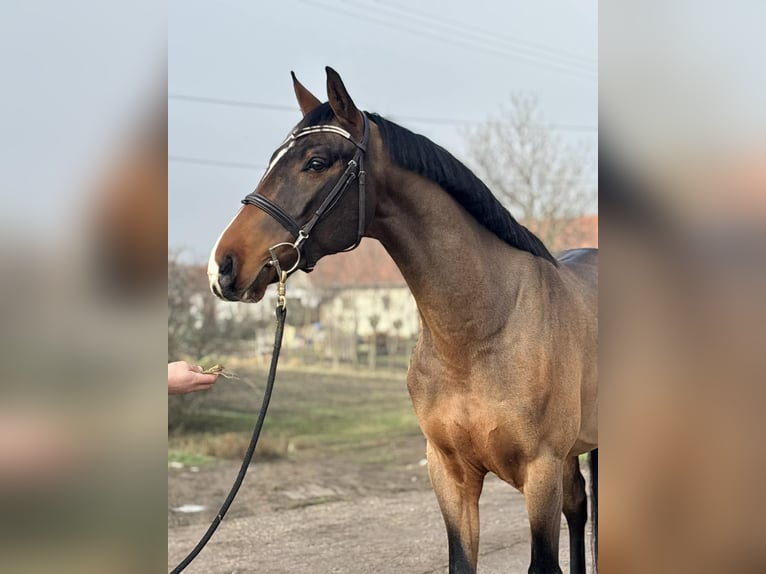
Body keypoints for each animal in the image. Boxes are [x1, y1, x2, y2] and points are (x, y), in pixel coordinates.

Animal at [207, 67, 598, 574]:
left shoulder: (541, 470)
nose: (223, 266)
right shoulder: (450, 473)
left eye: (316, 162)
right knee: (579, 506)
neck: (482, 332)